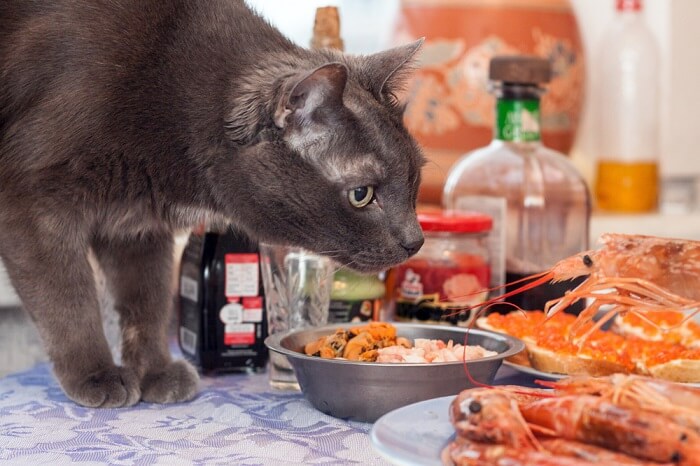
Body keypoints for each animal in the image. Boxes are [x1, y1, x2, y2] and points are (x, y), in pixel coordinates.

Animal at [0, 0, 426, 406]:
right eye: (362, 194)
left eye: (414, 178)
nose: (416, 241)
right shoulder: (31, 202)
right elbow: (69, 297)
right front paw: (95, 375)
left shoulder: (135, 222)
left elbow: (147, 298)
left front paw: (156, 372)